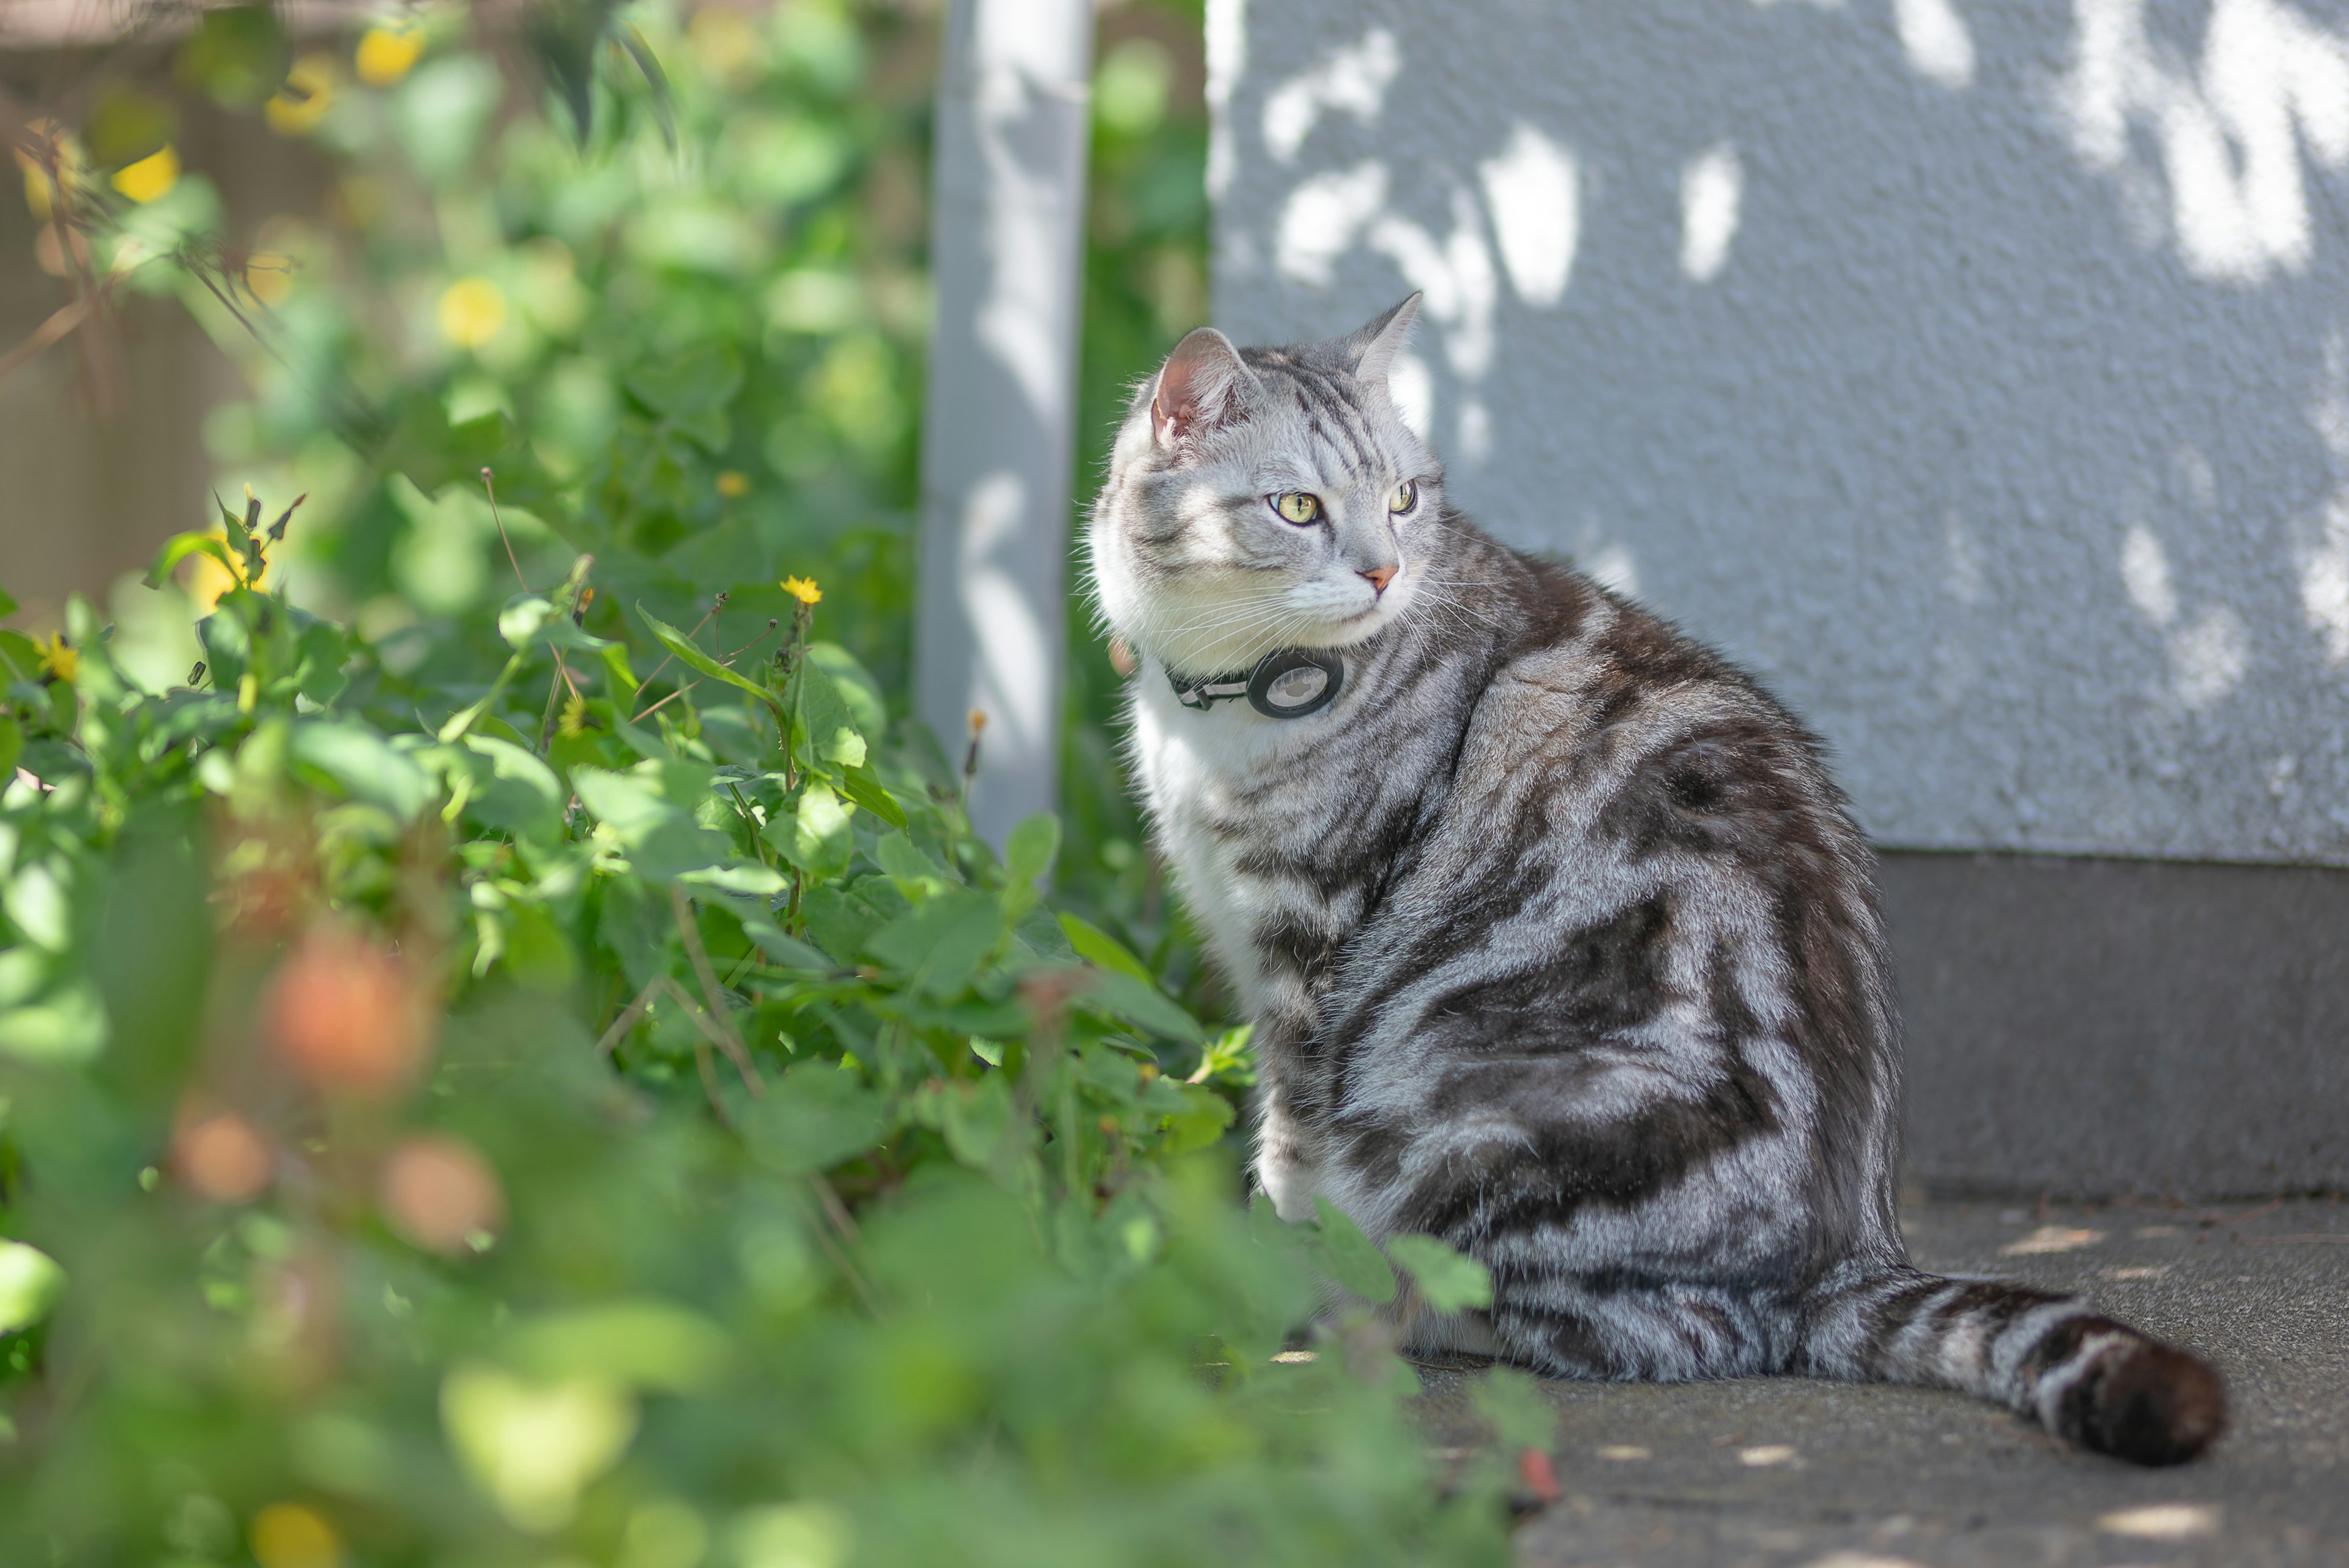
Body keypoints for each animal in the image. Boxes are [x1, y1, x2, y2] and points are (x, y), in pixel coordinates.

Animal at [1080, 300, 2217, 1466]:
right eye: (1298, 507)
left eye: (1402, 497)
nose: (1385, 570)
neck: (1224, 706)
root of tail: (1853, 1252)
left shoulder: (1311, 960)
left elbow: (1292, 1150)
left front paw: (1282, 1293)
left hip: (1475, 1102)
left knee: (1638, 1323)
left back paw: (1397, 1312)